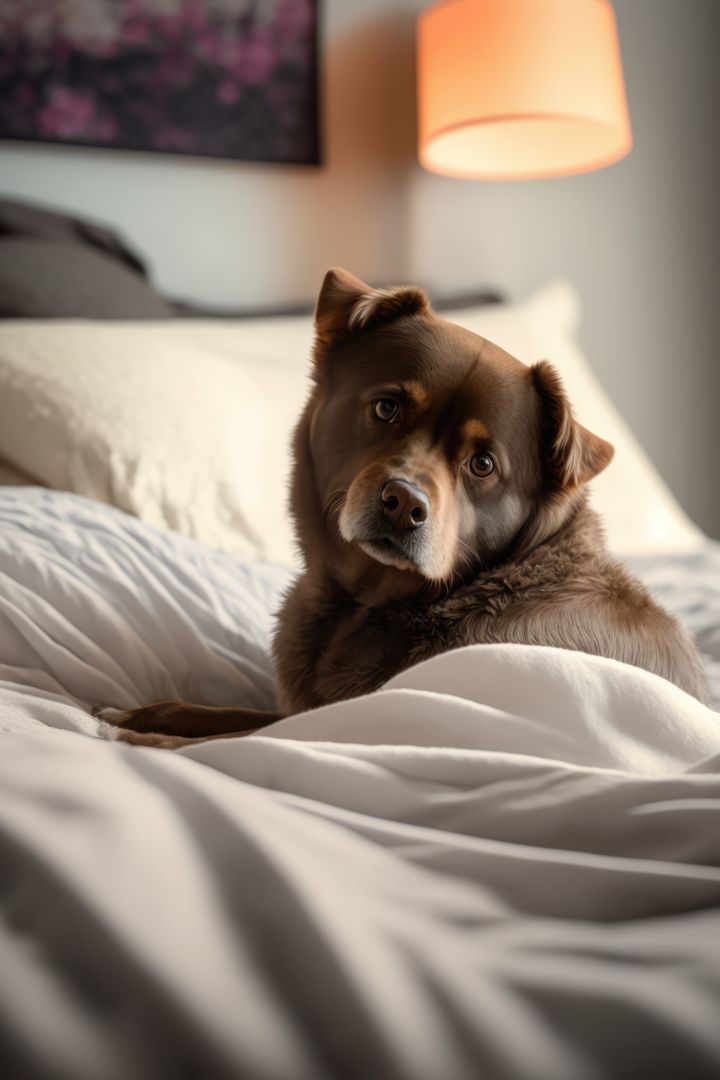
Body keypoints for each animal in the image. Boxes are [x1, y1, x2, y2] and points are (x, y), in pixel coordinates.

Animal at [104, 265, 708, 747]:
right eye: (387, 408)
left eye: (482, 464)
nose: (403, 505)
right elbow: (223, 713)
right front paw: (141, 712)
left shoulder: (339, 721)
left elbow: (230, 736)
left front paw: (141, 734)